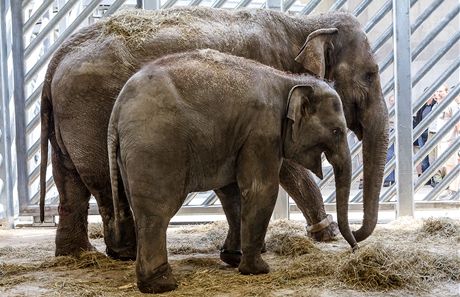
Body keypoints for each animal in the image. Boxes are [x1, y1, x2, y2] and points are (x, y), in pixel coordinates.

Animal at [39, 7, 388, 260]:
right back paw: (124, 253)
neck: (303, 24)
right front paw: (325, 235)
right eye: (370, 75)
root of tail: (57, 57)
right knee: (105, 182)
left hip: (68, 123)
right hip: (91, 113)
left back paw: (77, 255)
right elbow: (284, 167)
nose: (355, 240)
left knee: (70, 181)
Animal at [108, 48, 356, 292]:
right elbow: (260, 189)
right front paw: (258, 269)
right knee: (157, 212)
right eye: (337, 131)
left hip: (130, 154)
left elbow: (232, 193)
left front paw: (233, 259)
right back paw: (161, 285)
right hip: (156, 146)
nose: (354, 248)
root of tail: (117, 110)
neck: (290, 80)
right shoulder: (263, 131)